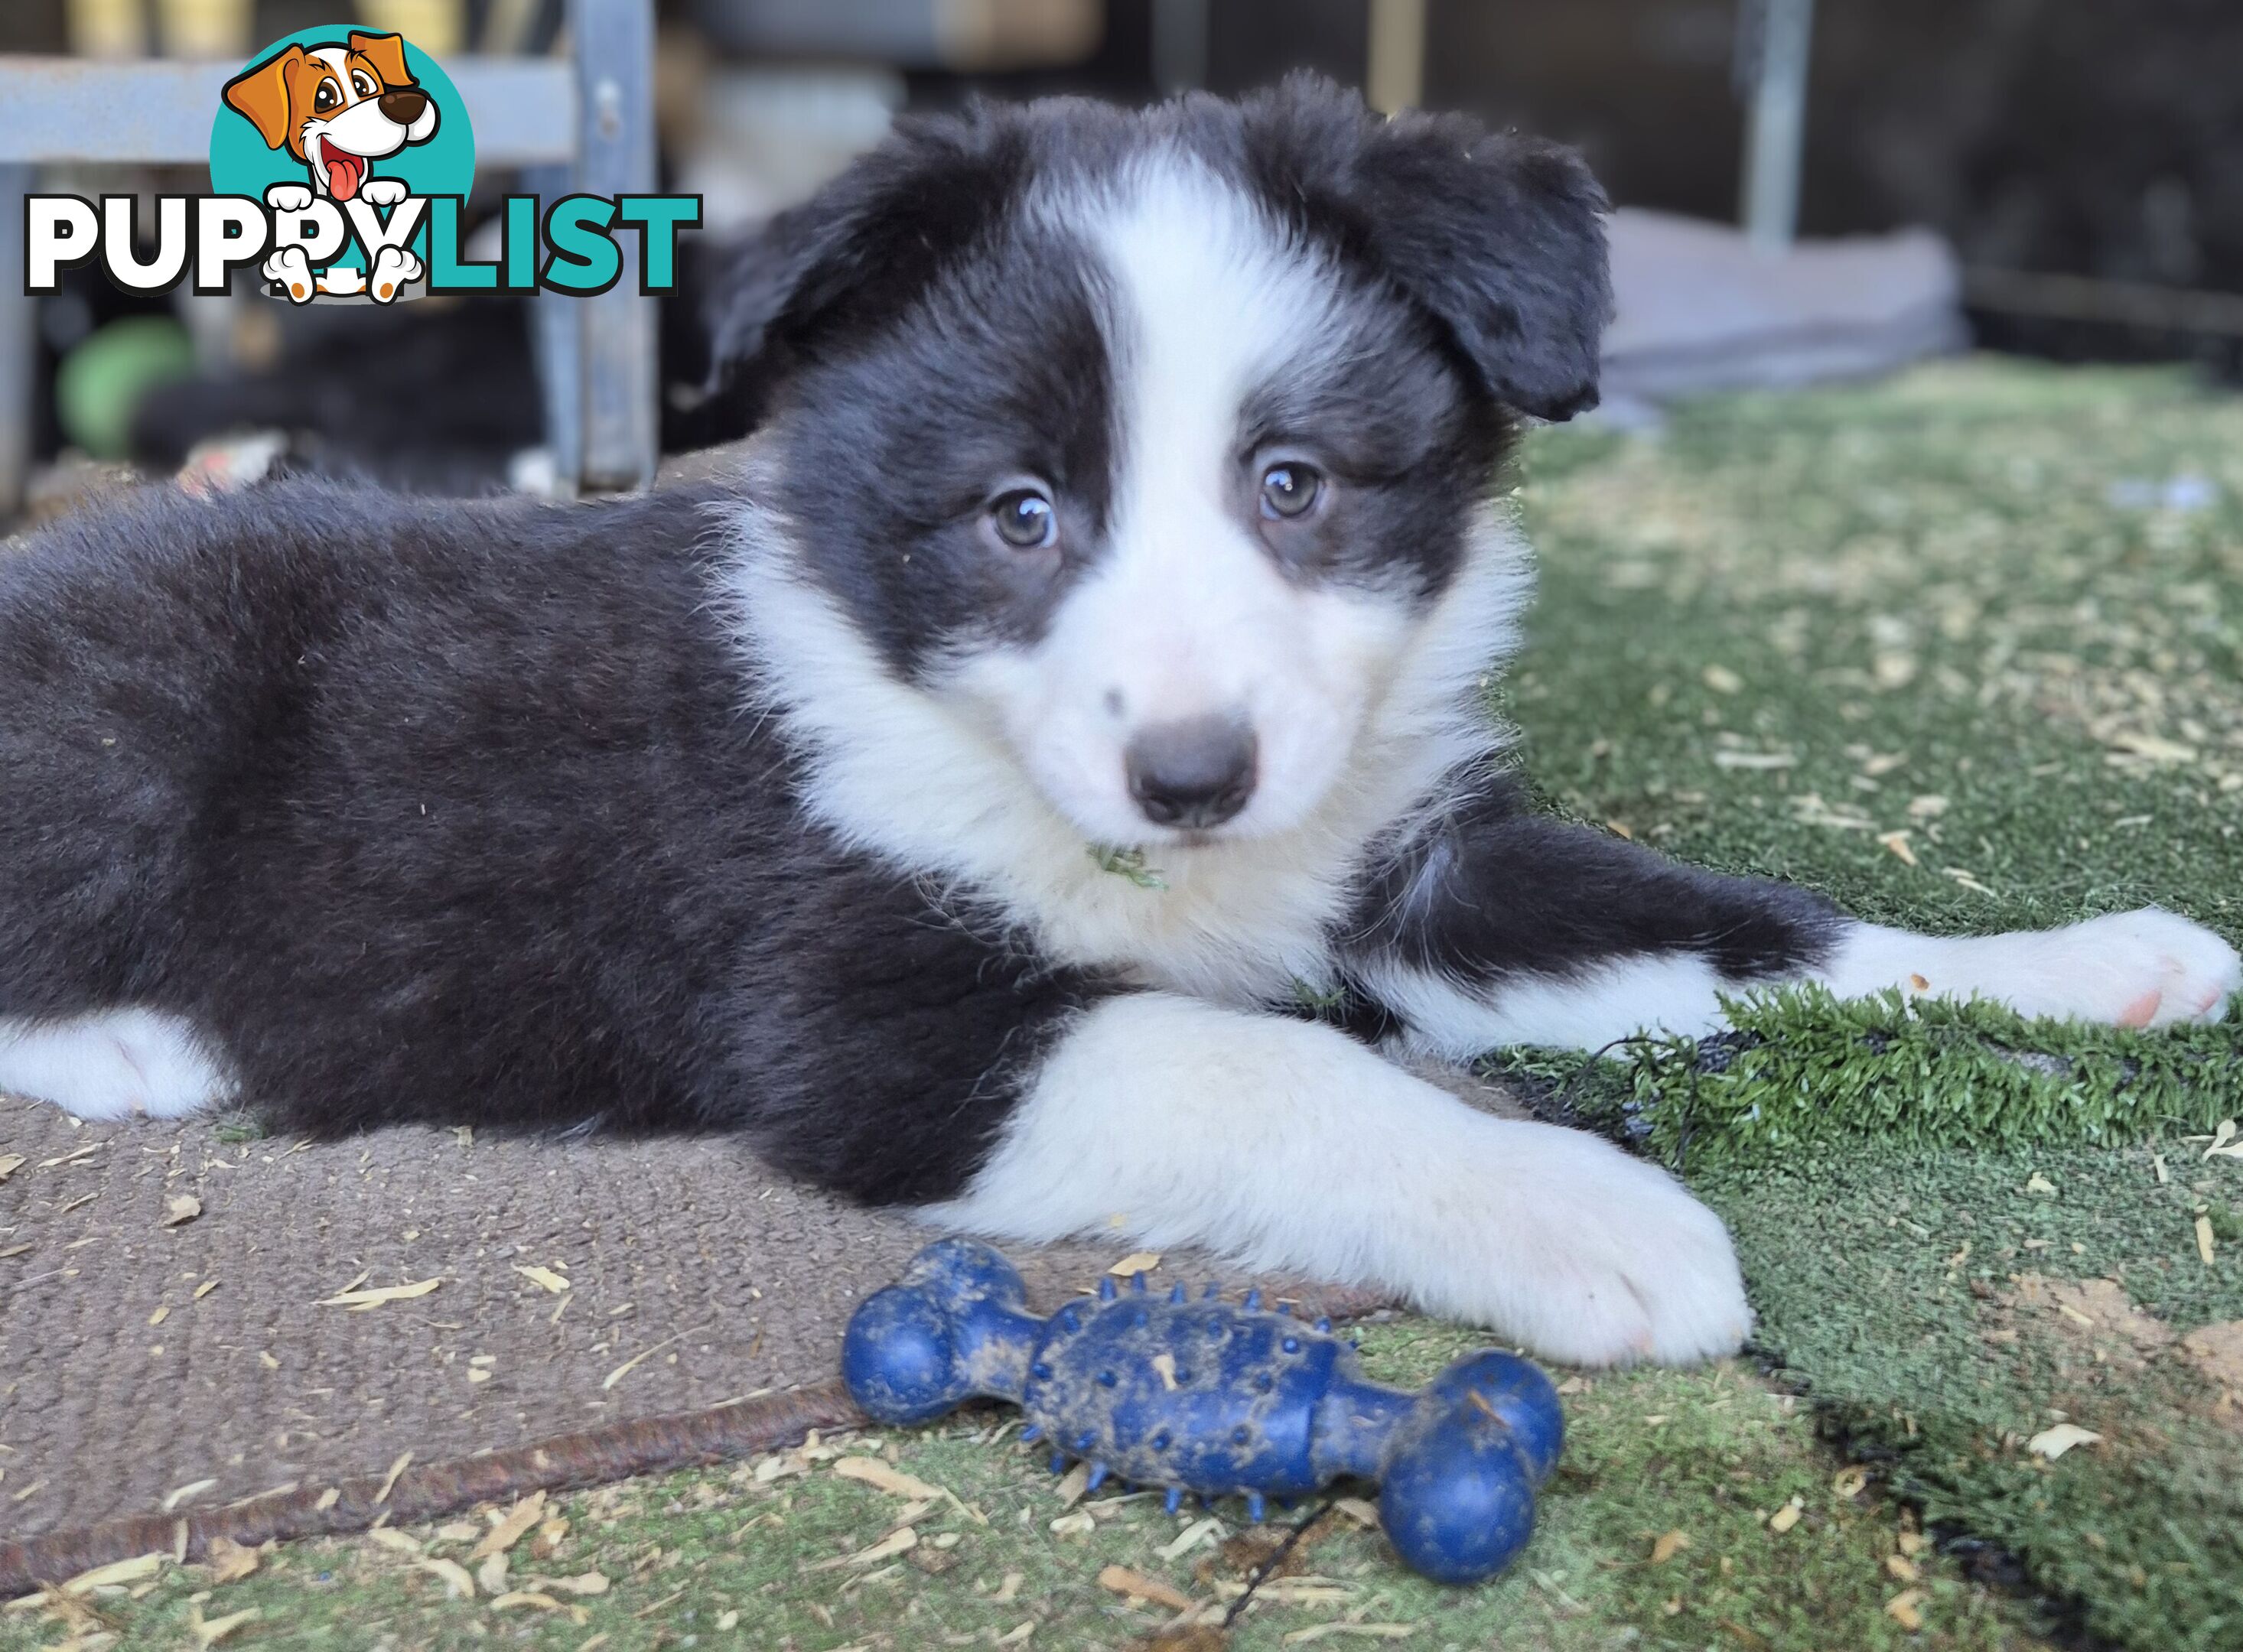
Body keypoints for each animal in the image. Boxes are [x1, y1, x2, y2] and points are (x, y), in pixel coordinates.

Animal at [8, 80, 2234, 1362]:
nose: (1189, 776)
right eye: (1019, 514)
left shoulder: (1412, 867)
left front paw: (2089, 965)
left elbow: (1752, 926)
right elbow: (1274, 1070)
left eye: (1294, 485)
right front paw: (1587, 1219)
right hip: (139, 703)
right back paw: (140, 1043)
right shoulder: (868, 1028)